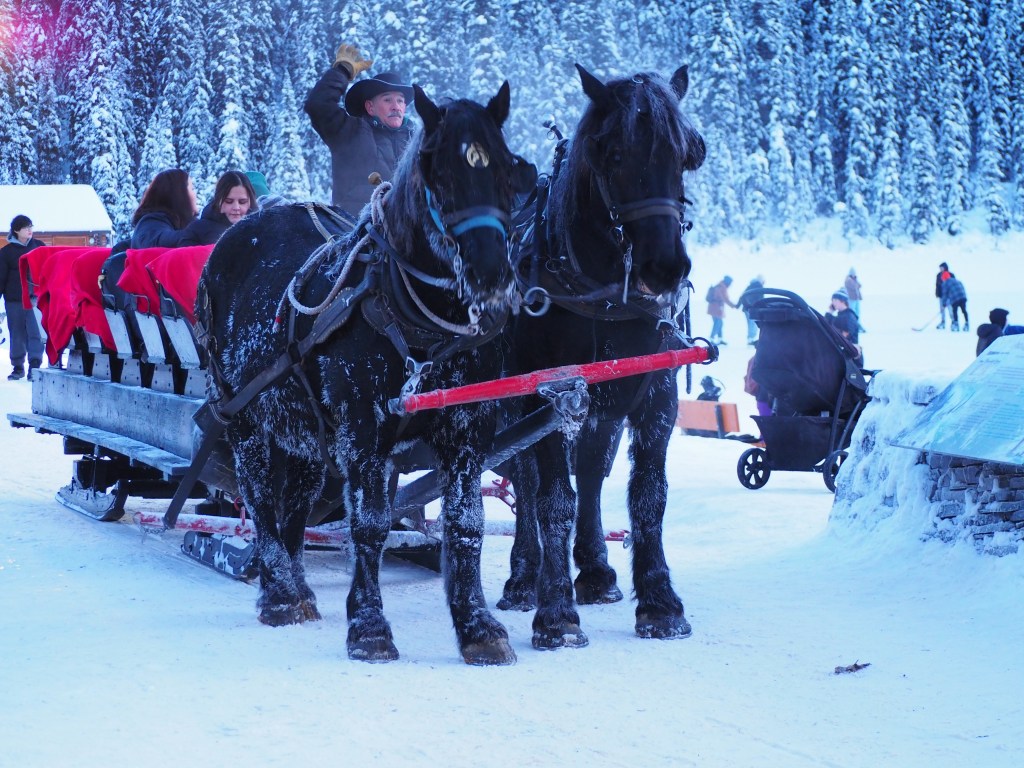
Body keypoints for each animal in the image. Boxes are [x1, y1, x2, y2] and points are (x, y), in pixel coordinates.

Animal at [197, 82, 536, 665]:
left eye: (507, 170)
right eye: (439, 175)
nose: (492, 274)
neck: (420, 321)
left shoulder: (469, 428)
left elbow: (465, 524)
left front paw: (477, 626)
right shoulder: (362, 431)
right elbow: (371, 526)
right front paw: (370, 625)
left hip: (301, 427)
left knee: (295, 503)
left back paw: (294, 586)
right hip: (243, 416)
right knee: (260, 497)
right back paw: (280, 594)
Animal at [497, 64, 706, 649]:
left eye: (687, 155)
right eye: (612, 154)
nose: (665, 267)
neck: (602, 295)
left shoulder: (656, 397)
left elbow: (648, 497)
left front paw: (659, 602)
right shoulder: (550, 396)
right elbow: (551, 499)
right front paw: (555, 613)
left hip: (602, 407)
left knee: (590, 473)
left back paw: (594, 571)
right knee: (525, 481)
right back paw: (523, 577)